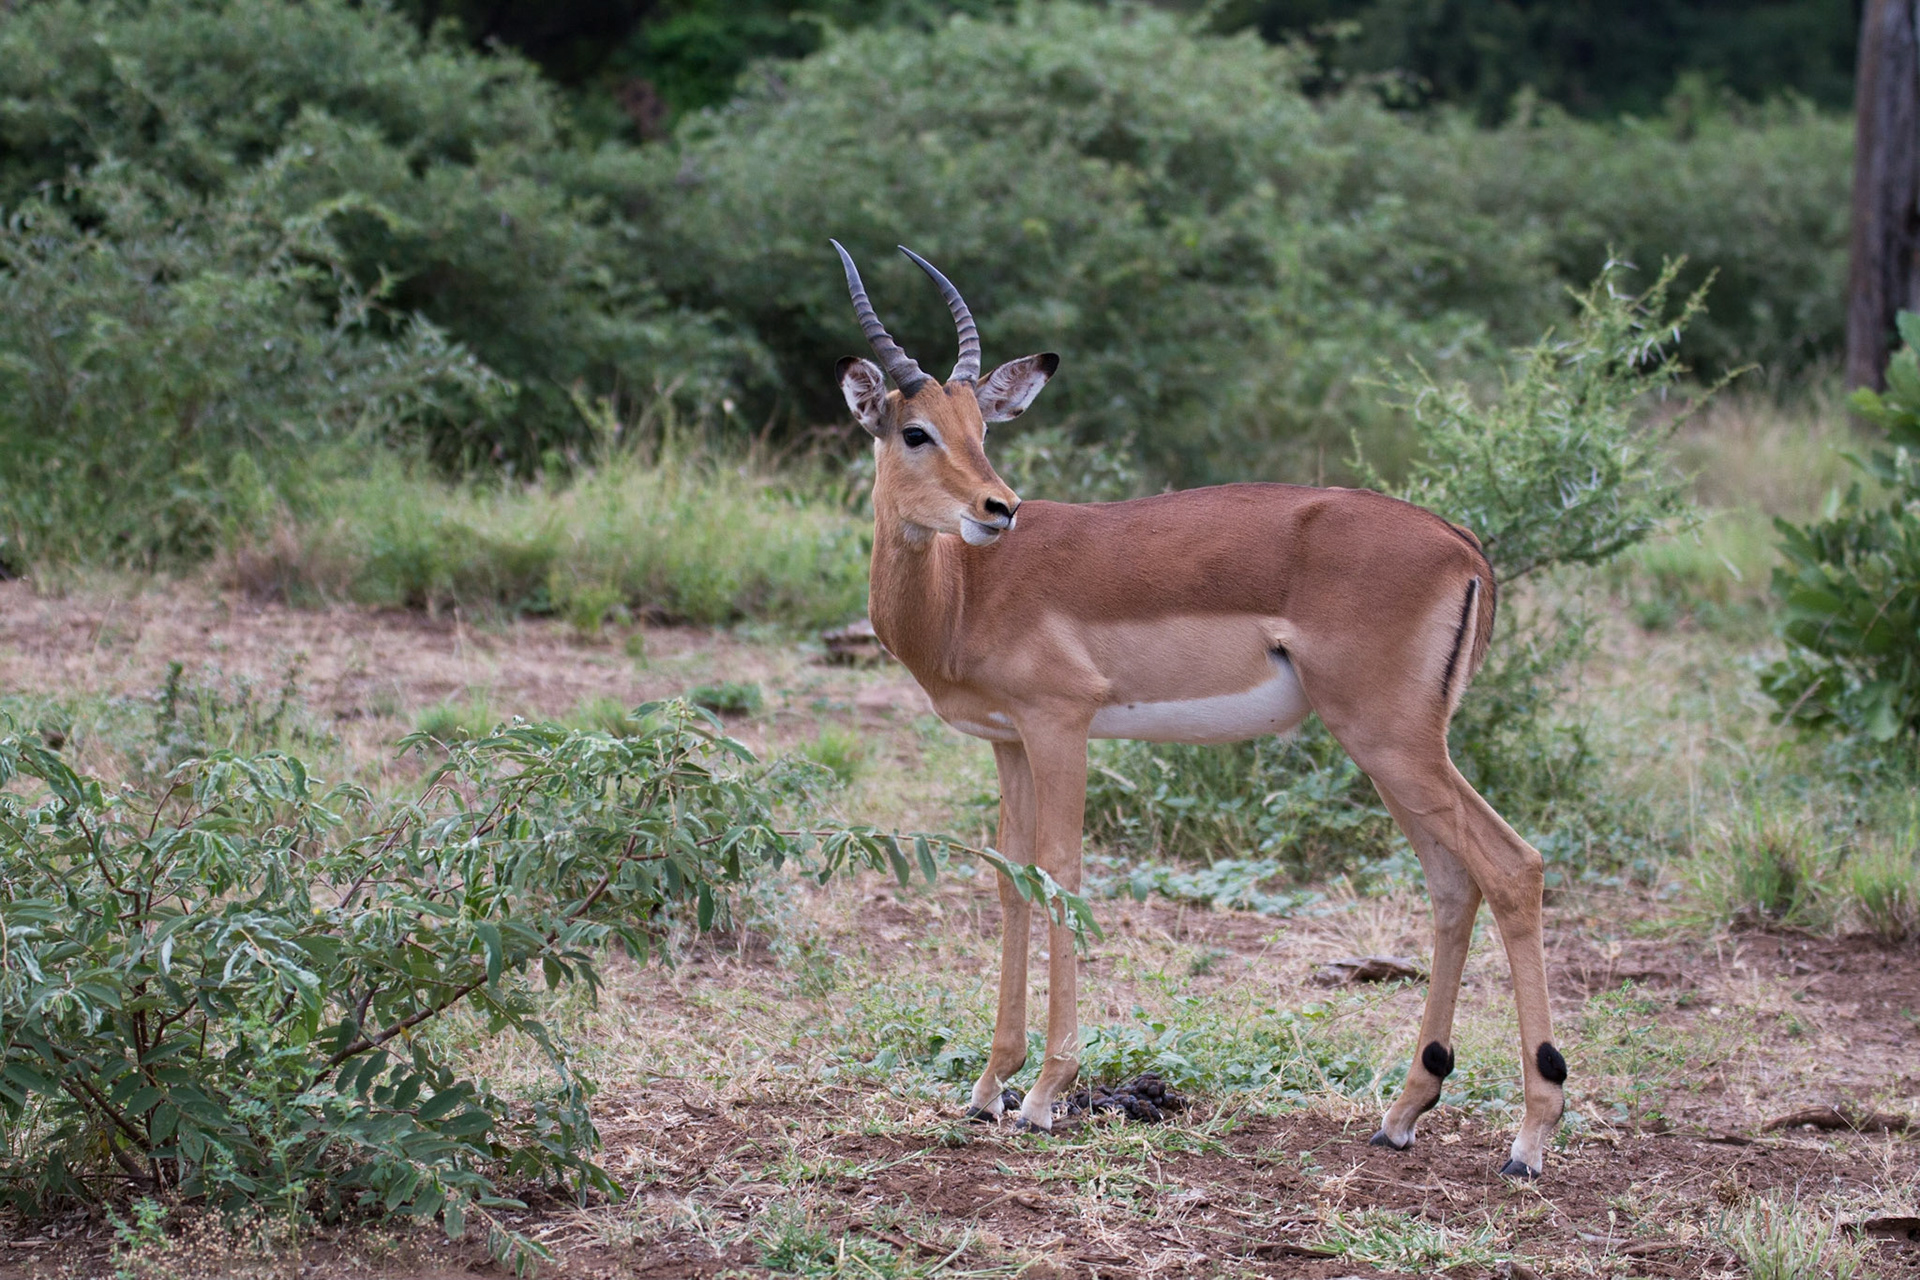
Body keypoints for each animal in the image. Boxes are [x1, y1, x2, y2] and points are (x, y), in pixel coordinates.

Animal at [831, 241, 1567, 1178]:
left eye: (981, 429)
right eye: (917, 430)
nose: (1000, 508)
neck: (968, 590)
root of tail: (1462, 544)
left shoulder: (1061, 724)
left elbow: (1063, 873)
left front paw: (1044, 1095)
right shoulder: (1009, 742)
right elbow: (1012, 880)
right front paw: (988, 1087)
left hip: (1393, 741)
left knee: (1512, 866)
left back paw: (1530, 1136)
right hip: (1395, 750)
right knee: (1452, 881)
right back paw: (1403, 1112)